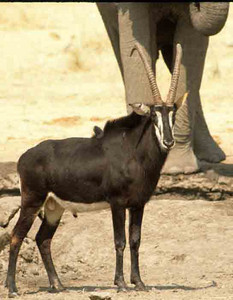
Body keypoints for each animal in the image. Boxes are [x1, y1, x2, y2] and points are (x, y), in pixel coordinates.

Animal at [5, 42, 187, 298]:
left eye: (173, 113)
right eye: (153, 115)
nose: (169, 141)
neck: (133, 151)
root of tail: (24, 157)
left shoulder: (138, 204)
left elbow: (136, 240)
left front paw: (139, 282)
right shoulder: (117, 203)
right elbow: (120, 241)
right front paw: (121, 283)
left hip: (53, 207)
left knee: (43, 239)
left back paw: (57, 285)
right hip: (32, 200)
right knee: (16, 237)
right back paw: (12, 288)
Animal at [96, 2, 229, 175]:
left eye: (173, 116)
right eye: (153, 116)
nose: (196, 5)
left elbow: (190, 48)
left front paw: (177, 168)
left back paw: (213, 156)